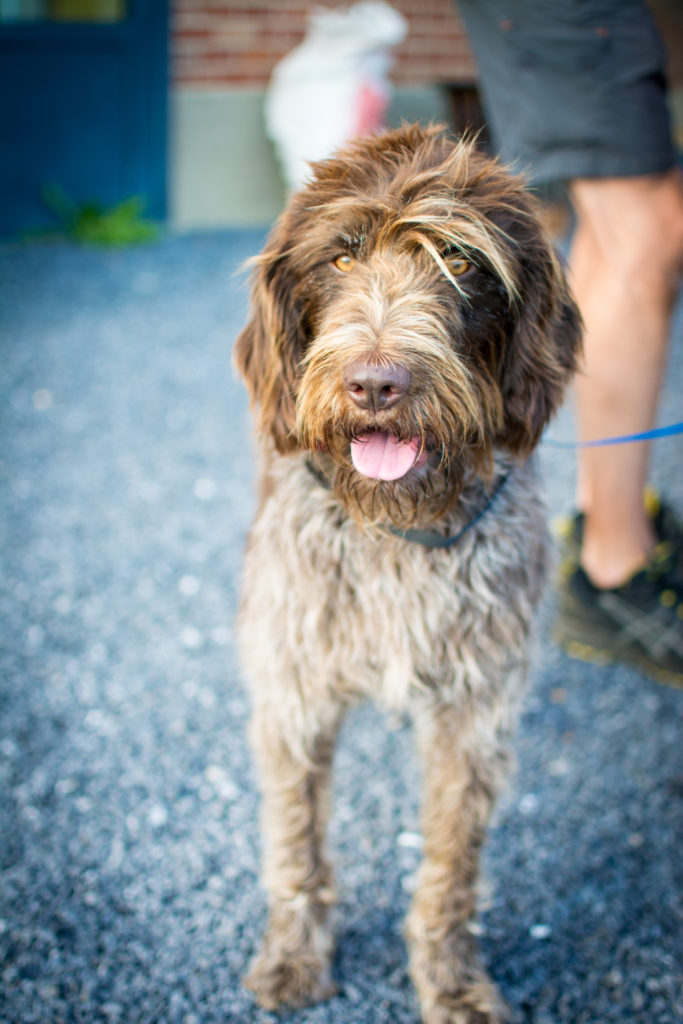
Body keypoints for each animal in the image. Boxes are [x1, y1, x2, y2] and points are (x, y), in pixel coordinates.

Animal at [235, 123, 581, 1019]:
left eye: (459, 262)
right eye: (340, 259)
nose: (376, 383)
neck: (399, 529)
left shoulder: (475, 713)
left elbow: (453, 864)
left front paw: (450, 978)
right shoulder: (295, 693)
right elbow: (296, 838)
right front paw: (295, 953)